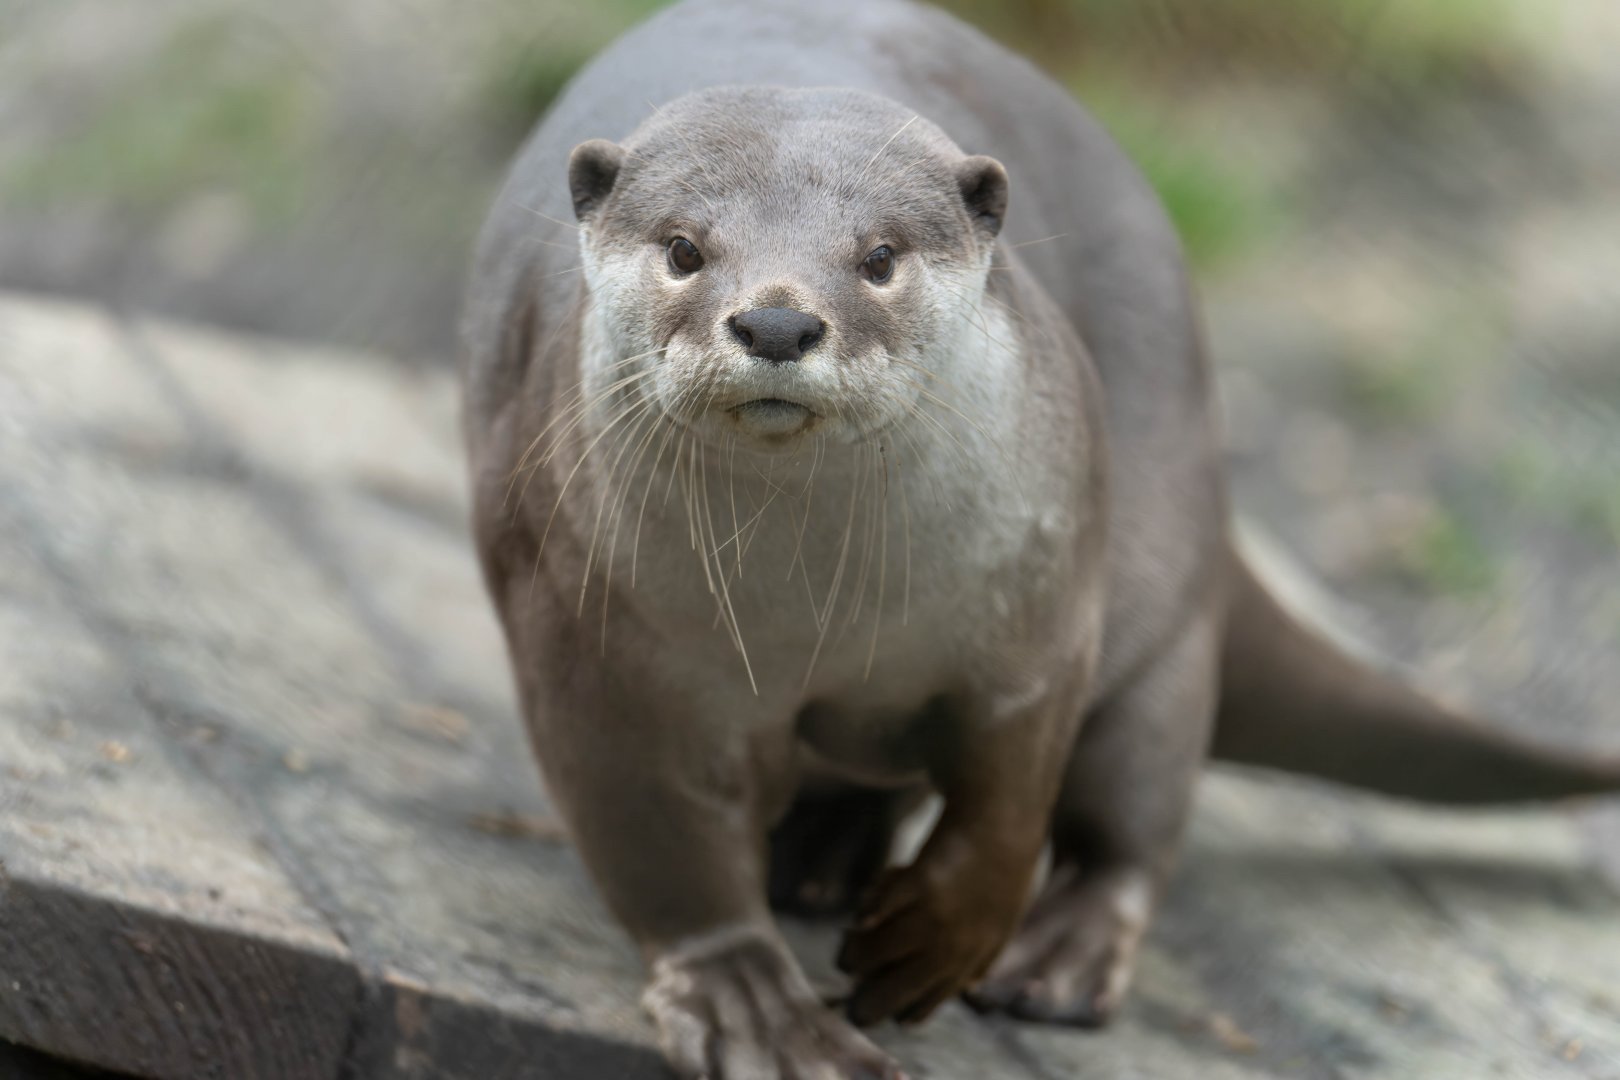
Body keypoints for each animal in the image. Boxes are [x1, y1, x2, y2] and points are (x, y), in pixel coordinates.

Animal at [458, 1, 1620, 1077]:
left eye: (877, 257)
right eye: (685, 248)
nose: (778, 321)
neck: (821, 613)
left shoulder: (1039, 607)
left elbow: (1013, 794)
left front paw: (941, 939)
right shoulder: (600, 657)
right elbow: (663, 847)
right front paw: (753, 1009)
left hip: (1159, 597)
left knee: (1135, 812)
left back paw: (1049, 957)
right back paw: (822, 858)